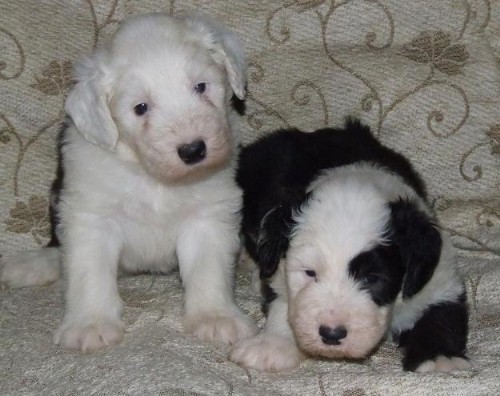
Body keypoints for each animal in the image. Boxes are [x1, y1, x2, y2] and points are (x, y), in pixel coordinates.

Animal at [0, 13, 258, 350]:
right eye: (141, 107)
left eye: (201, 87)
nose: (193, 150)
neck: (153, 178)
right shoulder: (90, 217)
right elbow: (90, 273)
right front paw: (90, 324)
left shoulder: (208, 216)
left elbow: (208, 269)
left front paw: (216, 317)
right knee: (58, 249)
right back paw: (32, 265)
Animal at [230, 119, 468, 372]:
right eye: (310, 272)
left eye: (371, 278)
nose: (331, 334)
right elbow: (283, 302)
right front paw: (271, 346)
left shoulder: (436, 279)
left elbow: (441, 311)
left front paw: (441, 359)